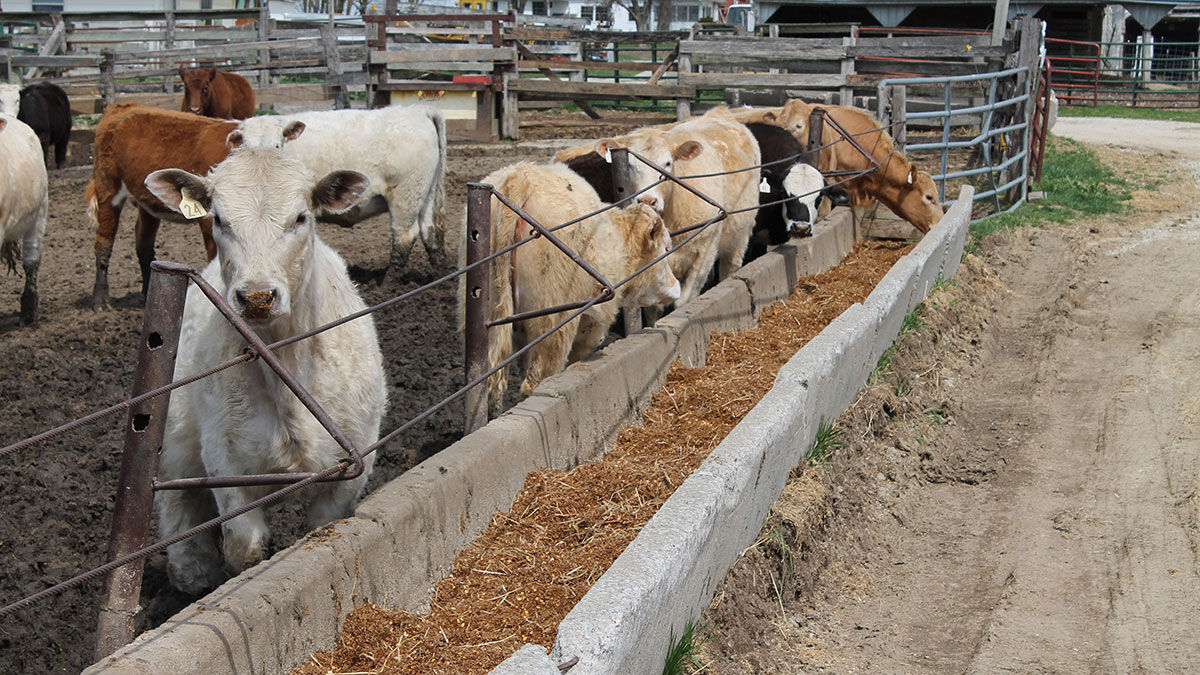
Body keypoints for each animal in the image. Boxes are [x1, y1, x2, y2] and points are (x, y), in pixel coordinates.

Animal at [86, 103, 236, 309]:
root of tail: (121, 107)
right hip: (107, 190)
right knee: (103, 244)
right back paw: (101, 299)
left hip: (146, 206)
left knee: (143, 244)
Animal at [145, 147, 386, 595]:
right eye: (219, 219)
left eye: (301, 217)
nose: (257, 296)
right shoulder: (226, 463)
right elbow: (244, 550)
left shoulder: (354, 460)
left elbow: (322, 527)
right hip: (173, 441)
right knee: (179, 506)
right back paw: (192, 571)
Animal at [229, 105, 449, 275]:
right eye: (244, 147)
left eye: (277, 145)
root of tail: (418, 110)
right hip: (425, 193)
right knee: (429, 231)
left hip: (405, 195)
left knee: (404, 237)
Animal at [481, 161, 680, 417]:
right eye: (666, 248)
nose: (676, 286)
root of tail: (522, 175)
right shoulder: (593, 325)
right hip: (554, 323)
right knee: (534, 381)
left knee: (494, 387)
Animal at [593, 107, 761, 304]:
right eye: (629, 165)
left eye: (667, 163)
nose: (647, 200)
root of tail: (719, 112)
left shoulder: (706, 252)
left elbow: (684, 300)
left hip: (741, 235)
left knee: (730, 266)